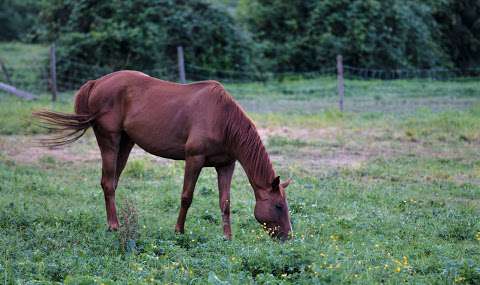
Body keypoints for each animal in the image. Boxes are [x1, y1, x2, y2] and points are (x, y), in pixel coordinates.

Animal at [33, 70, 292, 239]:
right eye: (279, 206)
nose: (288, 236)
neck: (222, 119)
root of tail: (97, 82)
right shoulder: (194, 159)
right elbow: (186, 197)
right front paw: (178, 231)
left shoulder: (226, 165)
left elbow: (225, 202)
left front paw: (227, 237)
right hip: (109, 140)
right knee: (107, 182)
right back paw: (114, 226)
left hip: (126, 143)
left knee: (112, 183)